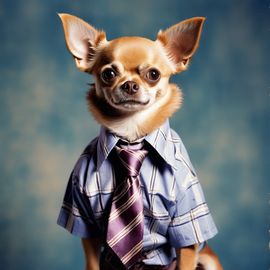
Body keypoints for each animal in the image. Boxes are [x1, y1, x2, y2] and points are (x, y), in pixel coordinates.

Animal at [56, 13, 221, 270]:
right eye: (108, 74)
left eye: (153, 74)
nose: (130, 84)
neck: (131, 136)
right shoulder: (84, 219)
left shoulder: (187, 224)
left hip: (207, 259)